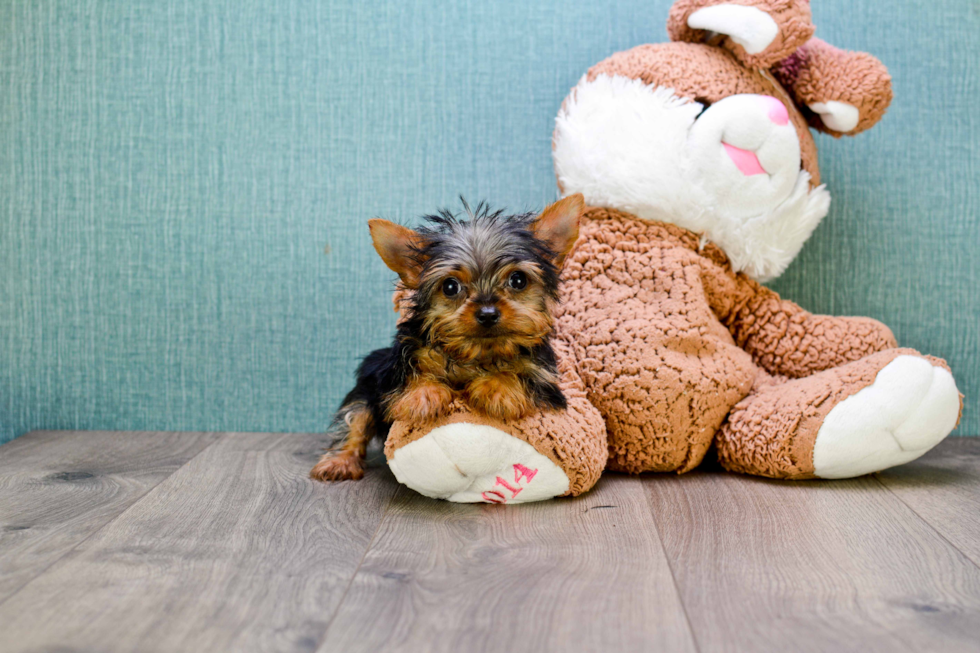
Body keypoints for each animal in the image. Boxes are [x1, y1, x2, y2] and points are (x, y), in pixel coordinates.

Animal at [310, 192, 580, 478]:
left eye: (518, 280)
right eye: (450, 286)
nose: (487, 313)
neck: (475, 354)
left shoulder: (546, 380)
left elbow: (525, 374)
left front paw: (498, 388)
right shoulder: (392, 369)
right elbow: (407, 376)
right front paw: (424, 393)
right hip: (366, 385)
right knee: (355, 418)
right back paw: (339, 462)